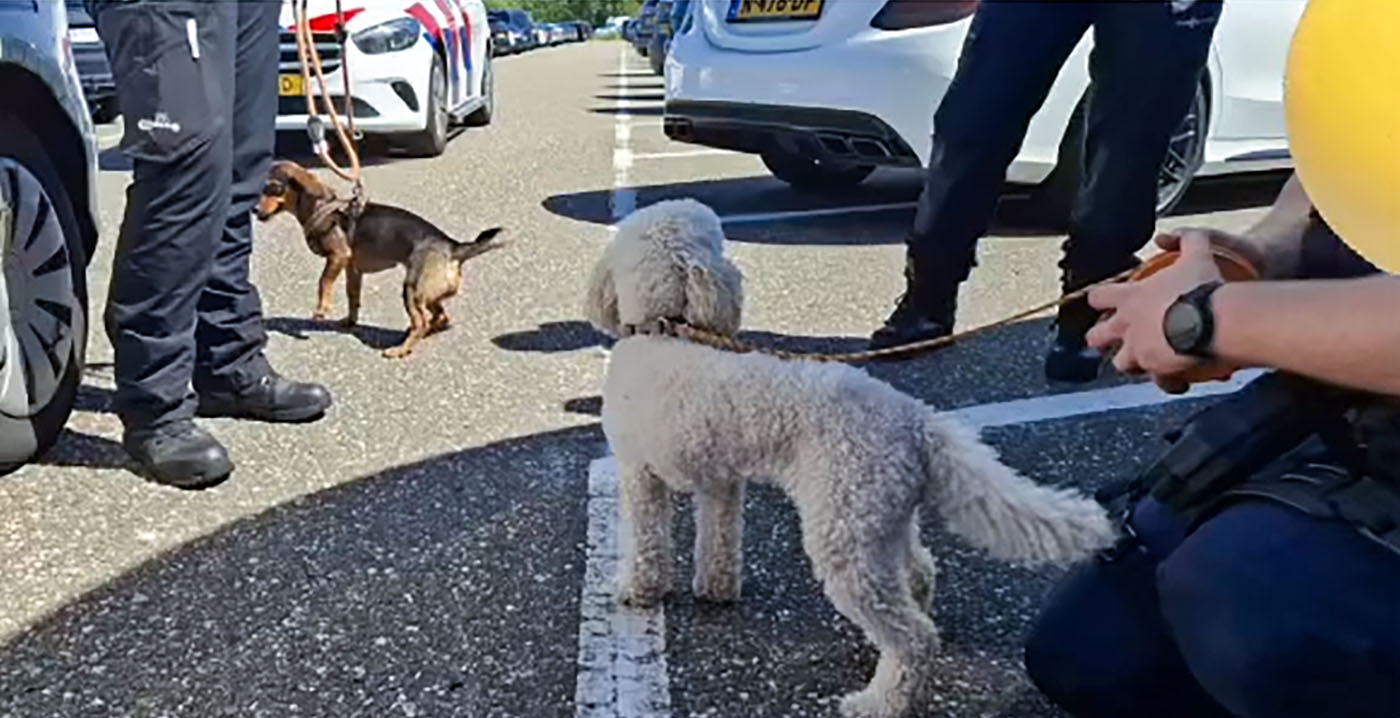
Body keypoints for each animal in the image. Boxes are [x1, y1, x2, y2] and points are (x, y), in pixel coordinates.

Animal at [259, 158, 509, 355]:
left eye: (273, 188)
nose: (254, 210)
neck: (322, 206)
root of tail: (453, 247)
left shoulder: (338, 256)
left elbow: (323, 282)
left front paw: (322, 309)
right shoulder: (352, 269)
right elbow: (353, 297)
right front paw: (349, 321)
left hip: (412, 289)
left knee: (421, 322)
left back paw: (401, 349)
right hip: (428, 293)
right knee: (439, 318)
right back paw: (419, 335)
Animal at [579, 197, 1114, 716]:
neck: (666, 331)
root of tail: (917, 421)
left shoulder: (639, 473)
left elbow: (647, 542)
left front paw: (637, 590)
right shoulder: (722, 482)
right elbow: (719, 542)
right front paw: (715, 590)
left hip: (843, 530)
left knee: (914, 637)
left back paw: (881, 701)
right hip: (879, 518)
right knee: (918, 576)